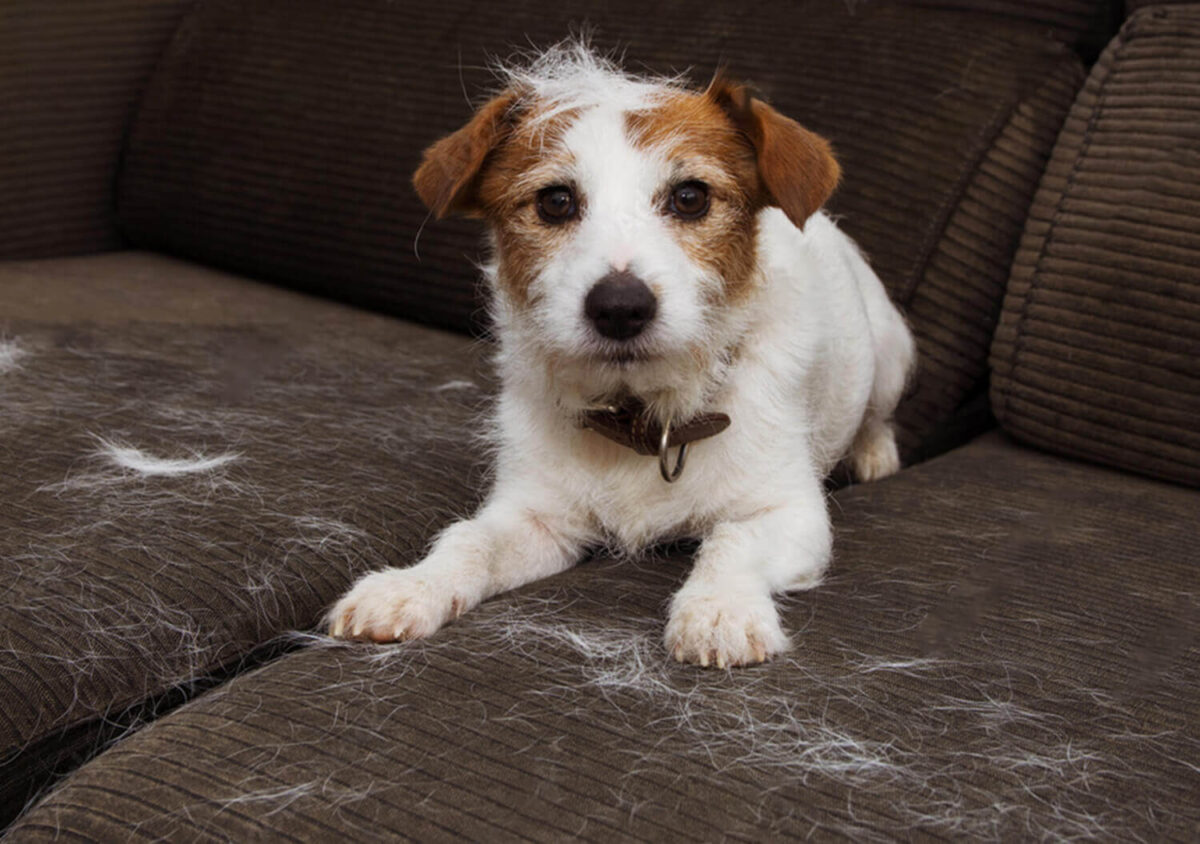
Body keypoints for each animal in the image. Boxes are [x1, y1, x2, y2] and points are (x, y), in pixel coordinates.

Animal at [324, 44, 912, 667]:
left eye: (690, 197)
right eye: (556, 201)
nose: (620, 307)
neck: (644, 417)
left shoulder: (789, 514)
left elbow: (734, 540)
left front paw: (720, 609)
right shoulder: (535, 517)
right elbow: (470, 540)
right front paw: (410, 586)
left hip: (891, 351)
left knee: (878, 415)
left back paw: (874, 455)